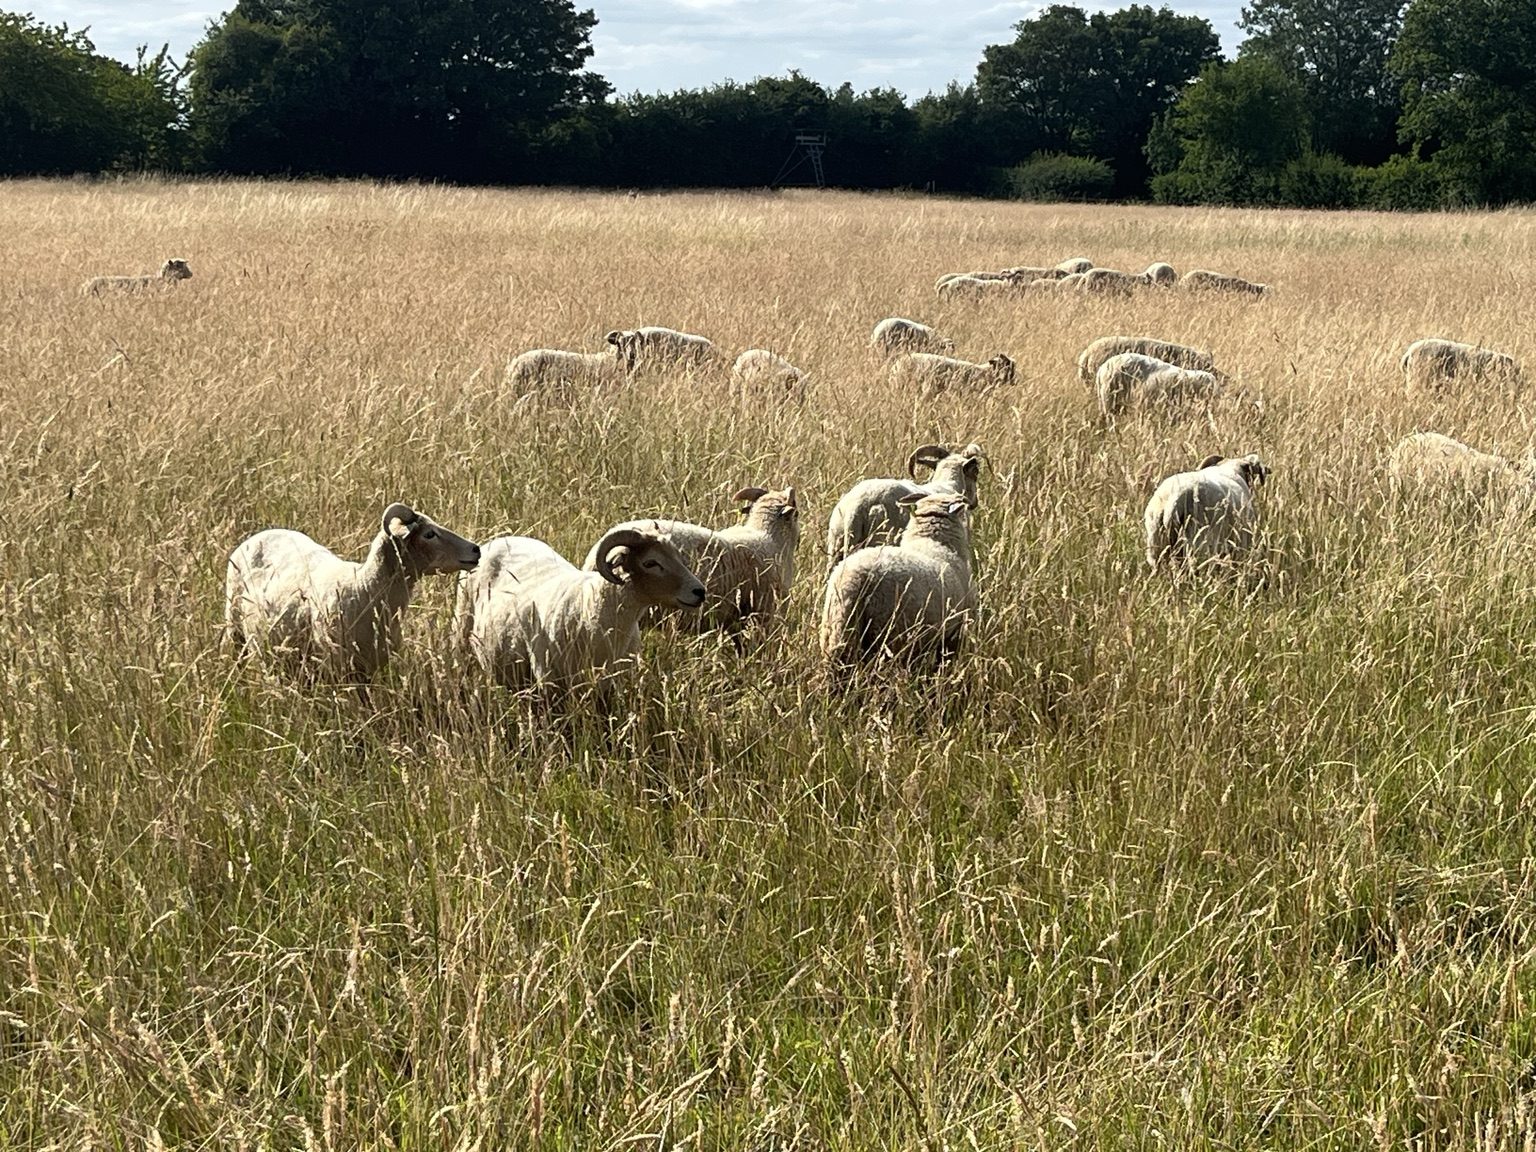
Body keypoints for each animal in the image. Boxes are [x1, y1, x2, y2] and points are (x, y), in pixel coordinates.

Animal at [224, 502, 480, 680]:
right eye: (429, 534)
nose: (476, 549)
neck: (366, 588)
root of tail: (259, 535)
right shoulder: (339, 668)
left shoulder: (370, 669)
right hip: (235, 631)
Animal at [456, 525, 706, 688]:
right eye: (651, 562)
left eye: (678, 556)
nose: (700, 592)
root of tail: (501, 540)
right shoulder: (549, 685)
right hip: (462, 634)